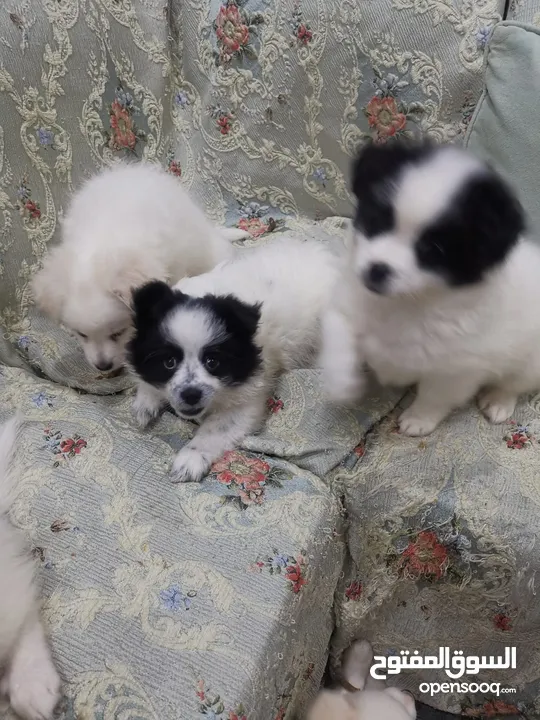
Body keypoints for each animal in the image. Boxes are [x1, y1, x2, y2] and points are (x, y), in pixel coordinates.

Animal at [125, 239, 338, 480]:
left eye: (213, 363)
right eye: (169, 362)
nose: (191, 394)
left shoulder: (247, 397)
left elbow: (215, 430)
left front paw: (190, 458)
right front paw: (146, 401)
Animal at [320, 140, 540, 434]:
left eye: (434, 249)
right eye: (378, 220)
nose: (377, 269)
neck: (407, 302)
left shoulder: (455, 370)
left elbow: (434, 396)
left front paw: (418, 419)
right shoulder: (345, 305)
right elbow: (339, 336)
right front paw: (341, 383)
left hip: (531, 362)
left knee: (513, 383)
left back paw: (498, 401)